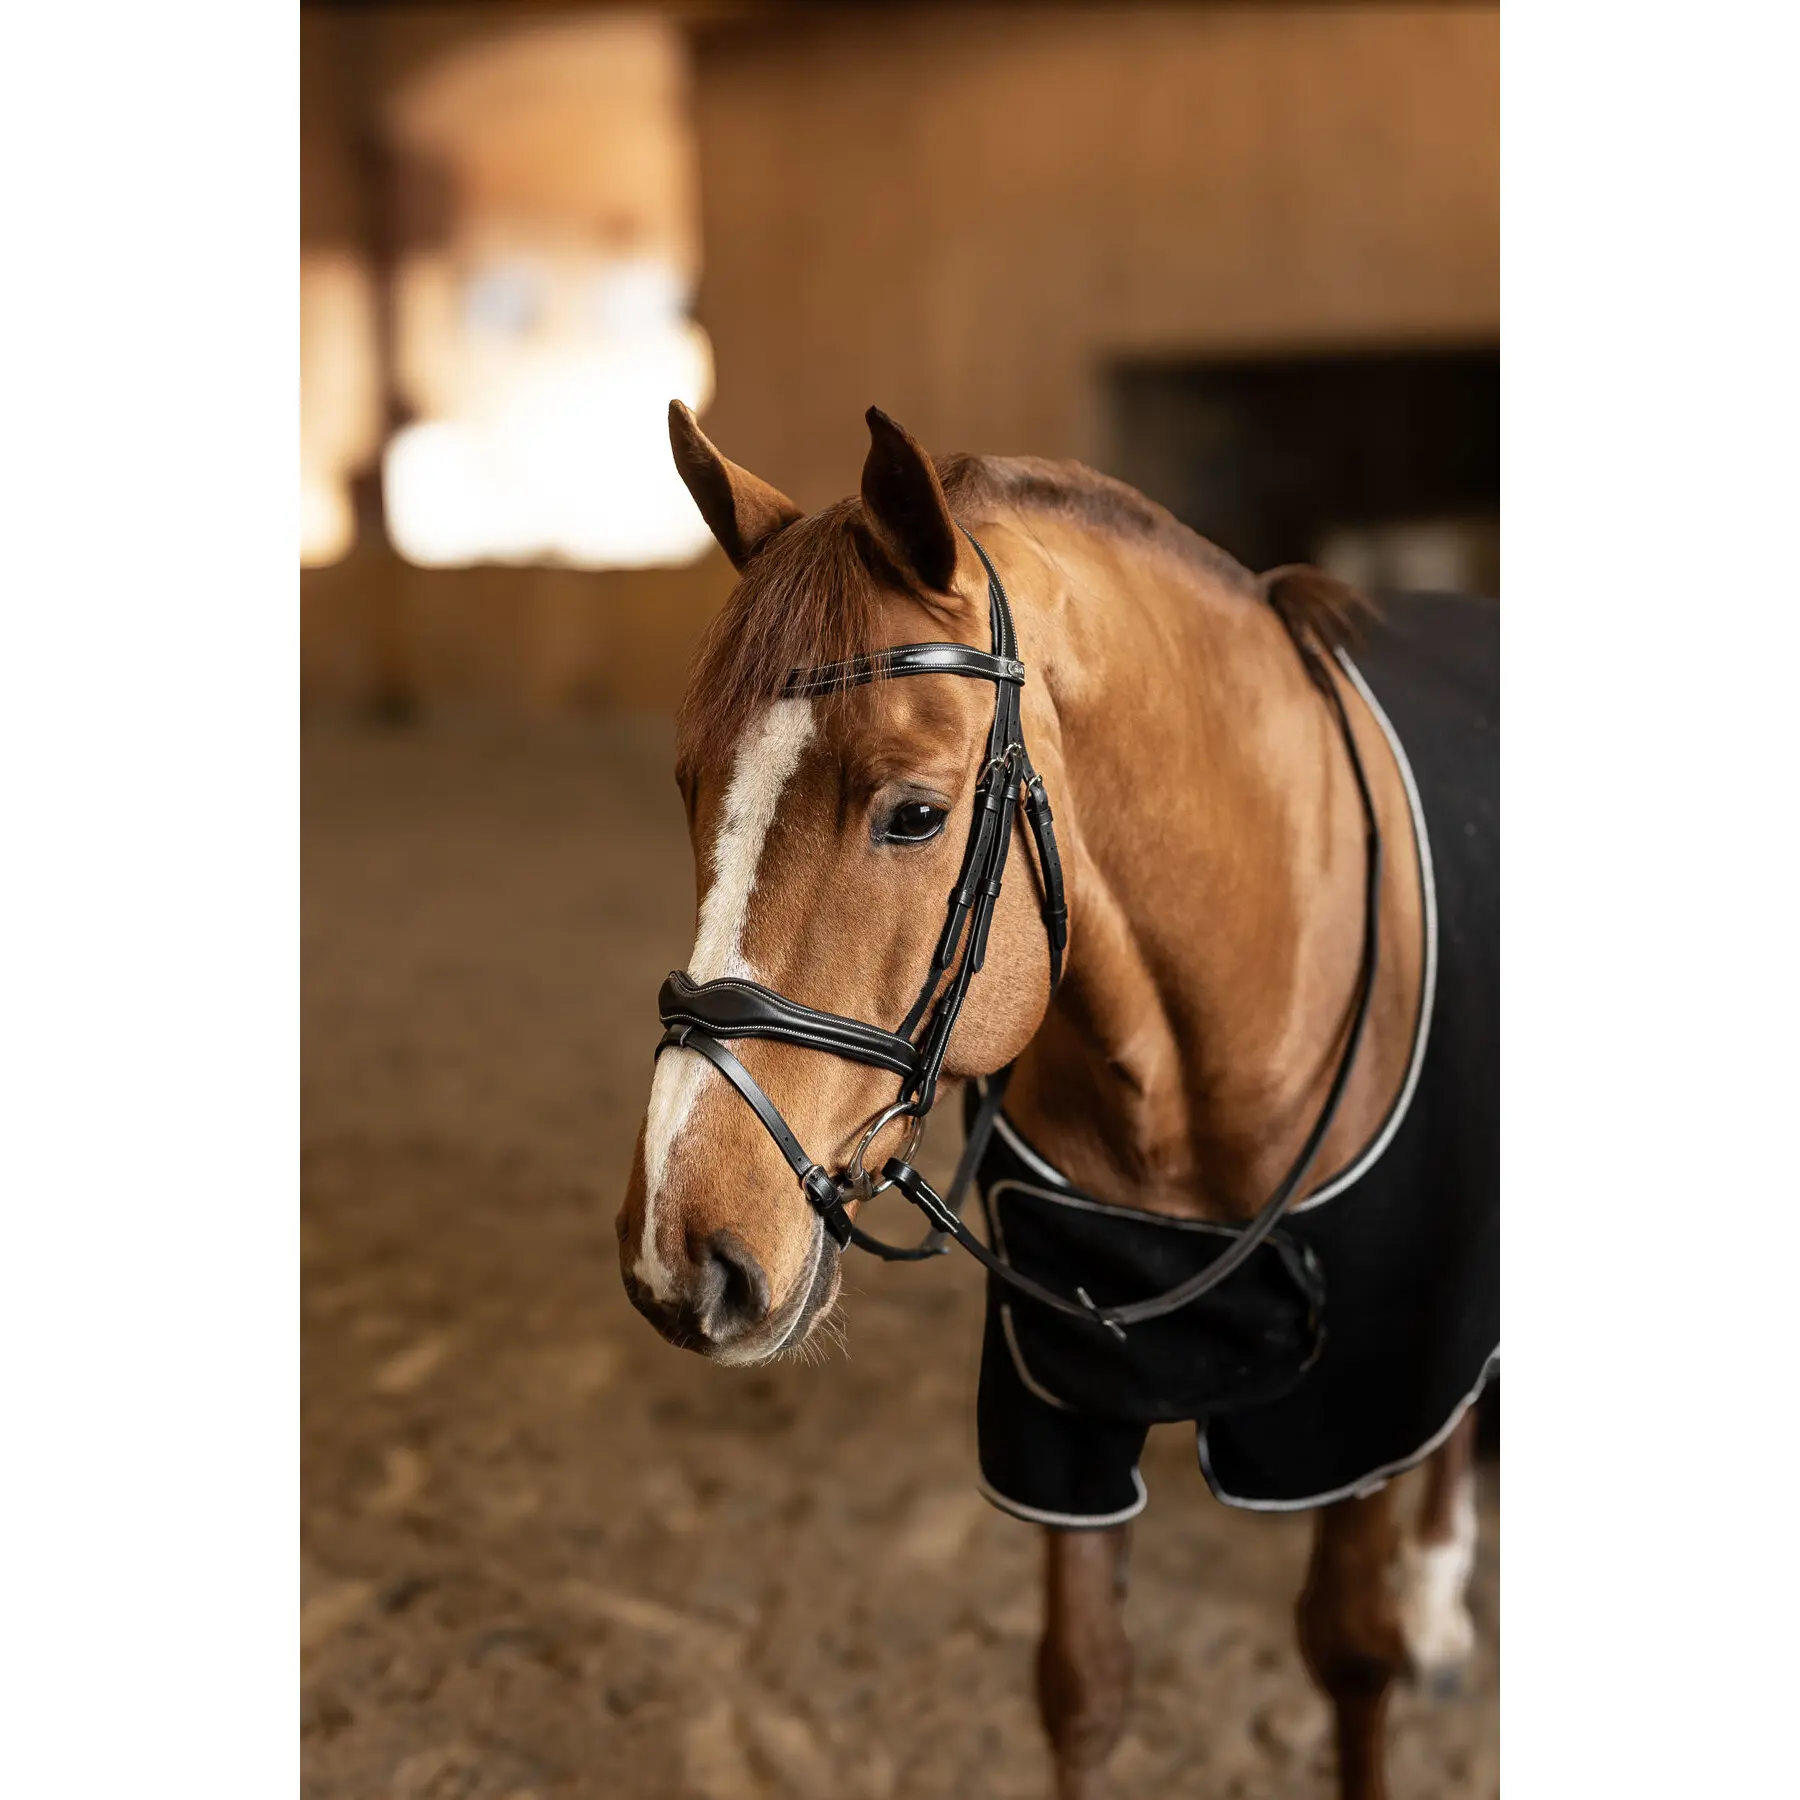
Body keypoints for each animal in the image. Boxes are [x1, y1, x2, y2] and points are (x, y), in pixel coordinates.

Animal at [616, 400, 1497, 1800]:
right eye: (690, 785)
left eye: (915, 814)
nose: (681, 1252)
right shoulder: (1063, 1395)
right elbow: (1081, 1688)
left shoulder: (1365, 1387)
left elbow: (1351, 1660)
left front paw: (1399, 1625)